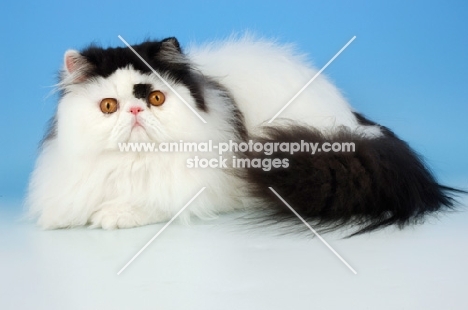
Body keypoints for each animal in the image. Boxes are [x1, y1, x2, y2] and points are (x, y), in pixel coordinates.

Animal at [27, 35, 462, 235]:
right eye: (108, 106)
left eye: (155, 98)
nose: (135, 112)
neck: (136, 164)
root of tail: (358, 126)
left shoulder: (204, 189)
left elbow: (155, 201)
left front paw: (115, 214)